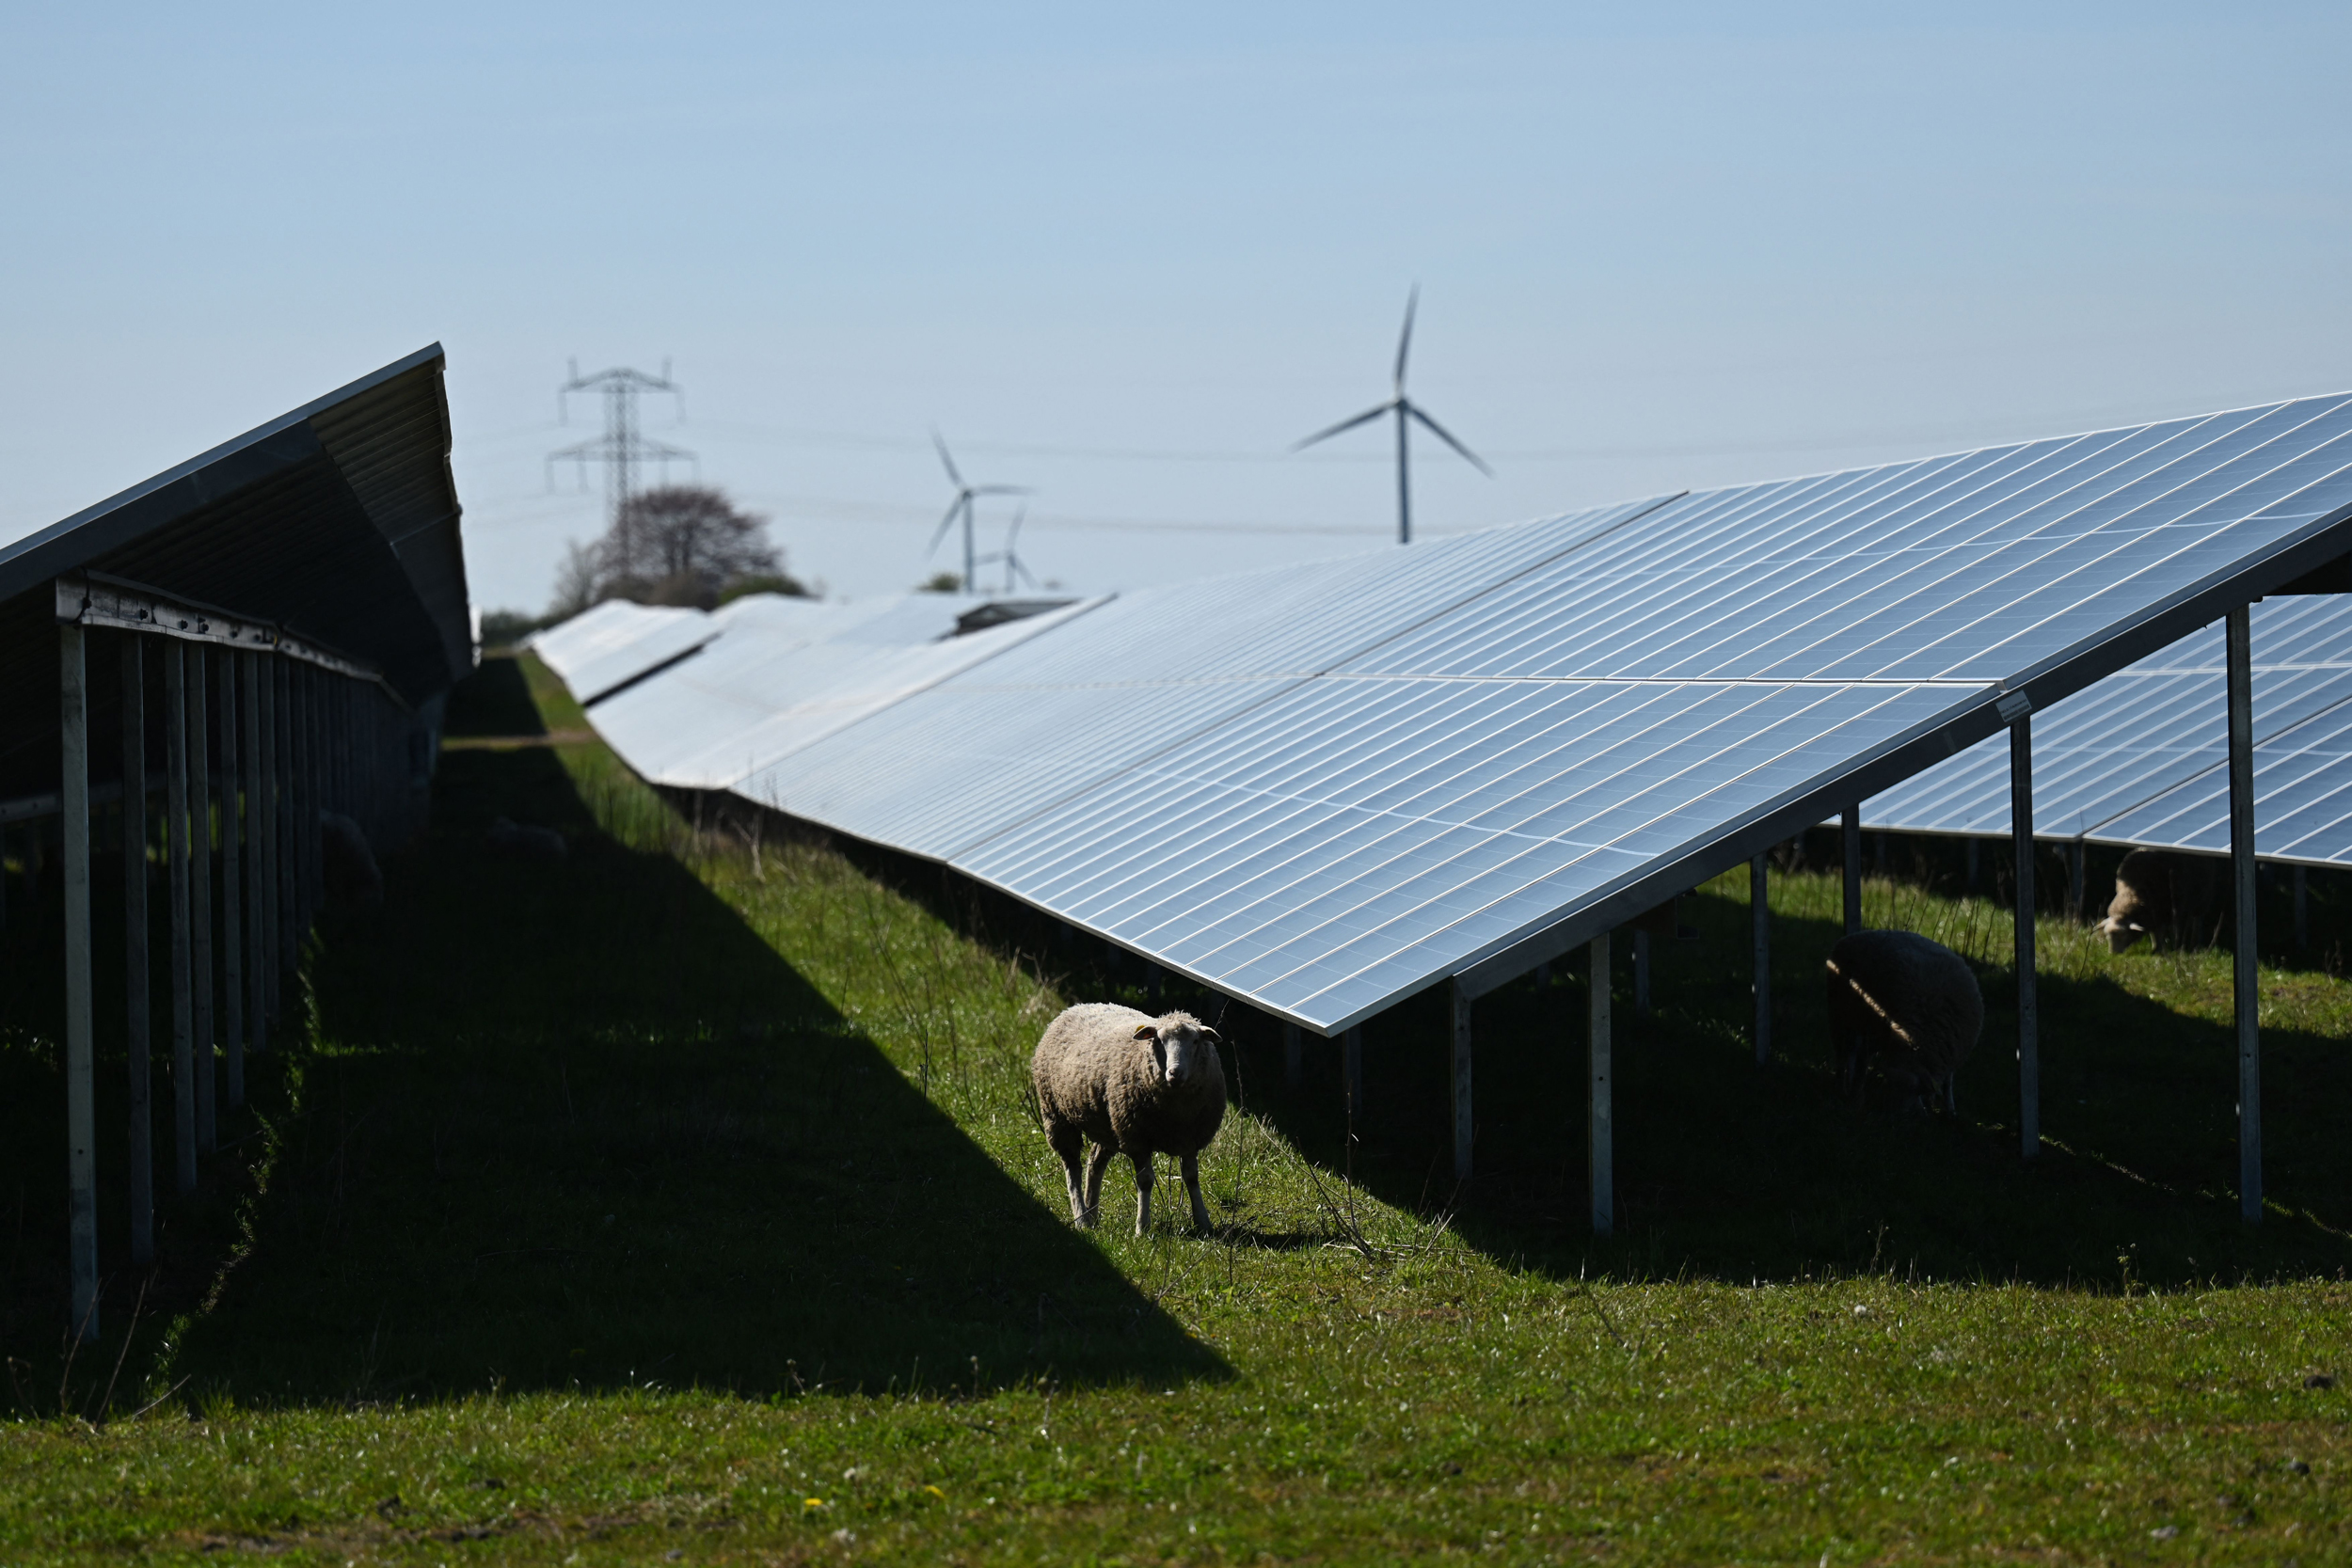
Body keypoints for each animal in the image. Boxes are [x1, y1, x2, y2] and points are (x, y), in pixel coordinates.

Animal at [1040, 1006, 1242, 1241]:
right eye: (1159, 1040)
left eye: (1195, 1041)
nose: (1175, 1072)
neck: (1176, 1111)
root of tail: (1075, 1007)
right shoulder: (1137, 1139)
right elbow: (1145, 1181)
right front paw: (1142, 1227)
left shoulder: (1190, 1138)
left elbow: (1191, 1177)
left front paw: (1203, 1222)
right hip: (1056, 1114)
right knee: (1072, 1167)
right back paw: (1082, 1218)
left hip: (1108, 1127)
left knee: (1095, 1162)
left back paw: (1092, 1211)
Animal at [1816, 930, 1985, 1114]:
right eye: (1890, 1085)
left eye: (1915, 1090)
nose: (1896, 1114)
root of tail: (1855, 935)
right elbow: (1862, 1065)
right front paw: (1856, 1098)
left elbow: (1948, 1082)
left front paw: (1948, 1108)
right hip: (1840, 1015)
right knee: (1844, 1054)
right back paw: (1842, 1087)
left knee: (1852, 1052)